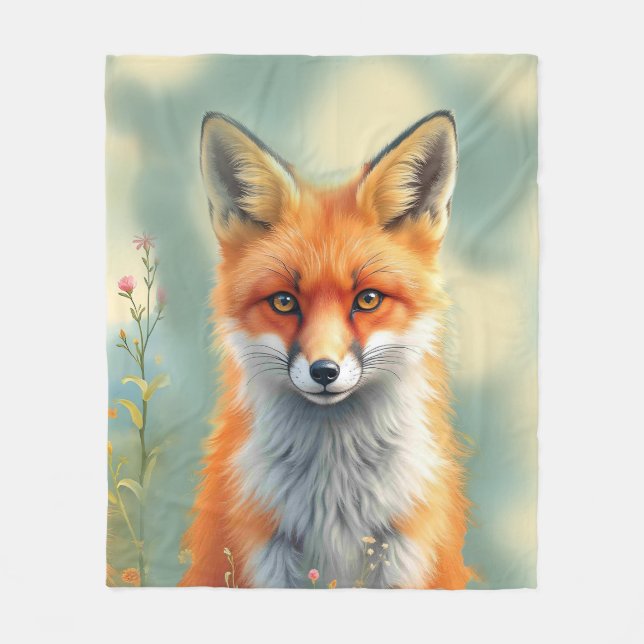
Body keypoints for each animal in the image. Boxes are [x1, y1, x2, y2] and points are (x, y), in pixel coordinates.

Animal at [180, 110, 472, 589]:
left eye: (367, 299)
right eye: (284, 302)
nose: (324, 372)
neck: (334, 495)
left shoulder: (405, 553)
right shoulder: (263, 553)